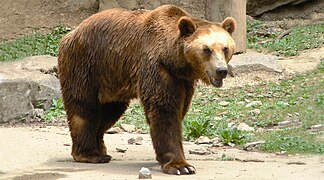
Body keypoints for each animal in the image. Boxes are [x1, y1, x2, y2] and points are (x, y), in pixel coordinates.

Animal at [57, 4, 235, 175]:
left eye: (225, 48)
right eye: (206, 49)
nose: (221, 70)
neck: (174, 62)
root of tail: (72, 33)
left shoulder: (183, 81)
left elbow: (180, 109)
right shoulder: (157, 69)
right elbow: (165, 111)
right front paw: (180, 166)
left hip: (113, 79)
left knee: (110, 110)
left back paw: (101, 149)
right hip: (86, 65)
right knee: (84, 108)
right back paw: (89, 154)